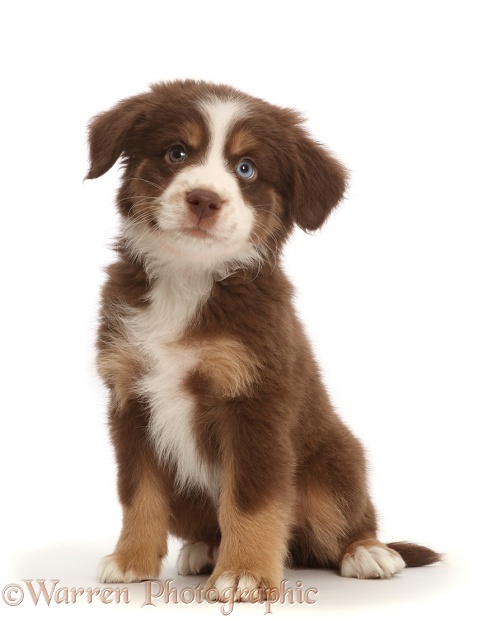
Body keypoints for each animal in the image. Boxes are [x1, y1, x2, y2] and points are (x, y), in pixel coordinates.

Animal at [87, 79, 440, 600]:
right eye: (176, 153)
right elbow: (138, 492)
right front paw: (133, 560)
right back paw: (205, 550)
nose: (204, 199)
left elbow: (250, 500)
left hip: (334, 466)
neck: (186, 283)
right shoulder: (129, 399)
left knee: (346, 522)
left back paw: (369, 552)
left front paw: (243, 574)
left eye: (246, 168)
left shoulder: (256, 404)